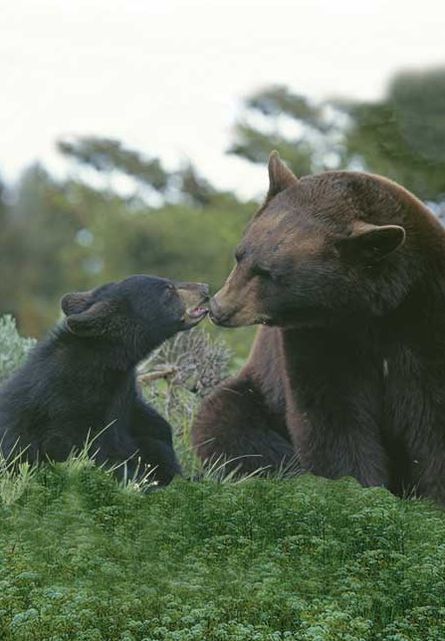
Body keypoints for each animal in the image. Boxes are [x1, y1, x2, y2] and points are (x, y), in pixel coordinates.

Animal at [0, 274, 209, 486]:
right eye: (168, 289)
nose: (205, 288)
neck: (104, 364)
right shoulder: (67, 411)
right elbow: (101, 456)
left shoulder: (125, 399)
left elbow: (155, 433)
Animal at [192, 151, 445, 502]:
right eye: (240, 255)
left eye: (269, 273)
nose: (219, 308)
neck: (371, 310)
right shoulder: (318, 336)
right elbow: (330, 414)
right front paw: (357, 489)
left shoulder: (424, 317)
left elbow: (432, 415)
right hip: (256, 394)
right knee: (226, 422)